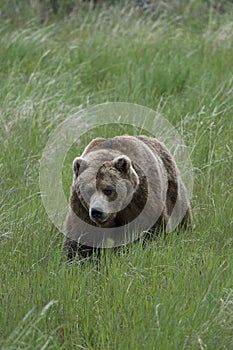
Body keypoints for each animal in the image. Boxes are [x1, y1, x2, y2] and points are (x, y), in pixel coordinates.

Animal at [63, 135, 191, 258]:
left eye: (108, 190)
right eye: (88, 191)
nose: (97, 211)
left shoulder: (139, 200)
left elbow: (150, 229)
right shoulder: (81, 208)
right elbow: (82, 236)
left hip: (172, 187)